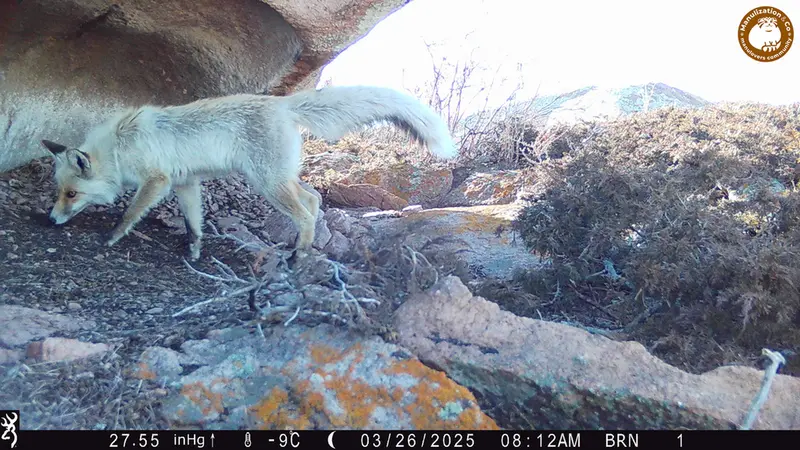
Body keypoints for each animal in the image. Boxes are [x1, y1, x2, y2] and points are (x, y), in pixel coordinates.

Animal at [40, 85, 457, 261]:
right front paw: (194, 251)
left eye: (71, 194)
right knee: (314, 199)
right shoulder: (185, 182)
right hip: (279, 179)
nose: (51, 220)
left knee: (306, 211)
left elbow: (128, 213)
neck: (118, 146)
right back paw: (305, 246)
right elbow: (193, 223)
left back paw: (300, 255)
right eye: (59, 192)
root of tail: (283, 103)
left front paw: (111, 238)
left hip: (267, 182)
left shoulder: (157, 180)